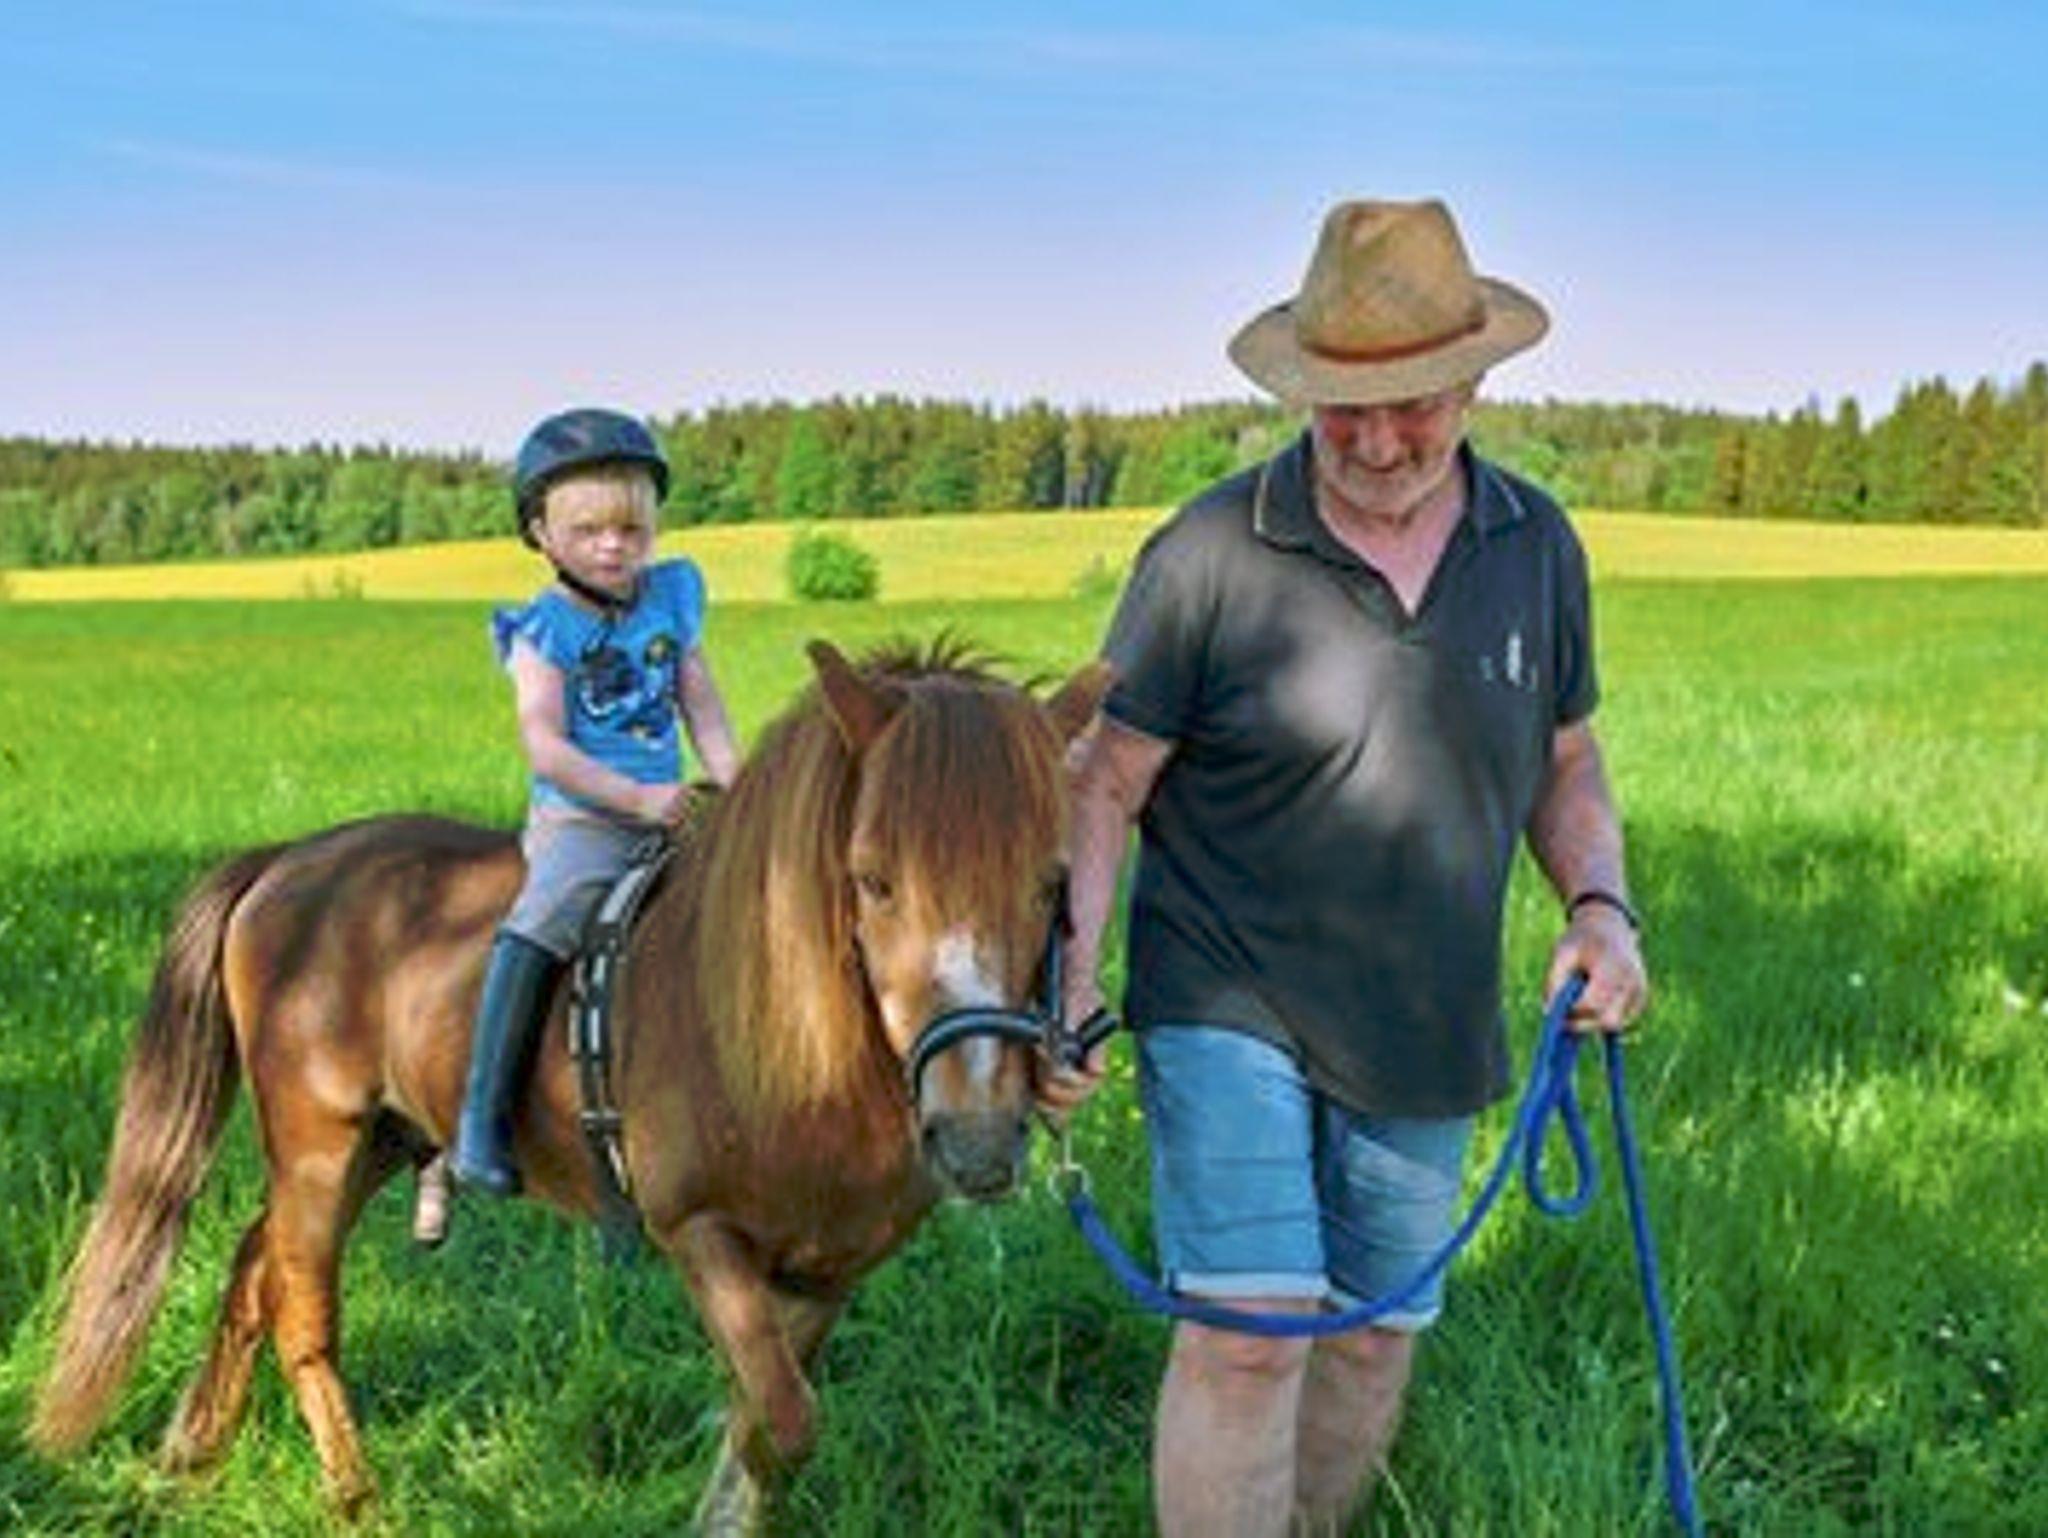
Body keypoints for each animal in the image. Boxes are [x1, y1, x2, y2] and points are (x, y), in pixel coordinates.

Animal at [31, 638, 1111, 1532]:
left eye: (1051, 883)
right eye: (874, 879)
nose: (978, 1139)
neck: (789, 1043)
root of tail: (285, 863)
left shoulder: (823, 1273)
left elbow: (767, 1428)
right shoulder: (698, 1232)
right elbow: (784, 1416)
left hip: (378, 1138)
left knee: (257, 1262)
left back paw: (189, 1456)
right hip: (316, 1140)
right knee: (301, 1305)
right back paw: (356, 1496)